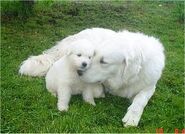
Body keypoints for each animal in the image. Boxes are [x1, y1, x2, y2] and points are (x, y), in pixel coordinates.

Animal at [19, 28, 165, 126]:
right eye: (94, 55)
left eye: (103, 61)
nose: (79, 72)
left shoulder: (150, 86)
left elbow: (141, 99)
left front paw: (132, 117)